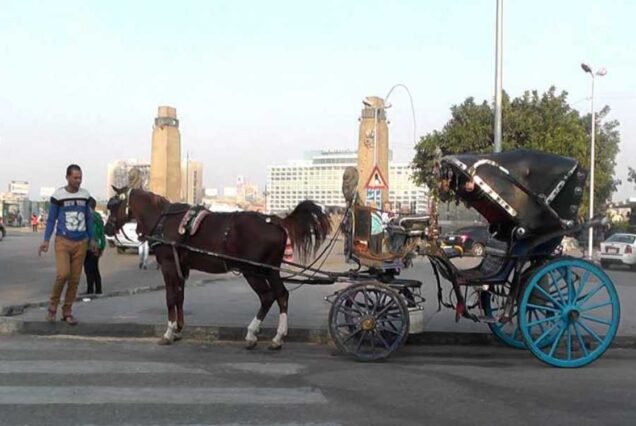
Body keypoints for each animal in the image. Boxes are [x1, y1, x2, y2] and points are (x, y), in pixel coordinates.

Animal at [103, 186, 332, 350]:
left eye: (113, 204)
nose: (107, 228)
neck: (162, 220)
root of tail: (274, 220)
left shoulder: (168, 265)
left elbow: (170, 297)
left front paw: (168, 332)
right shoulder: (181, 267)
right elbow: (180, 297)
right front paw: (178, 329)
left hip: (252, 271)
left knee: (267, 296)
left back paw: (252, 333)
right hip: (270, 269)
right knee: (282, 295)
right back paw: (277, 337)